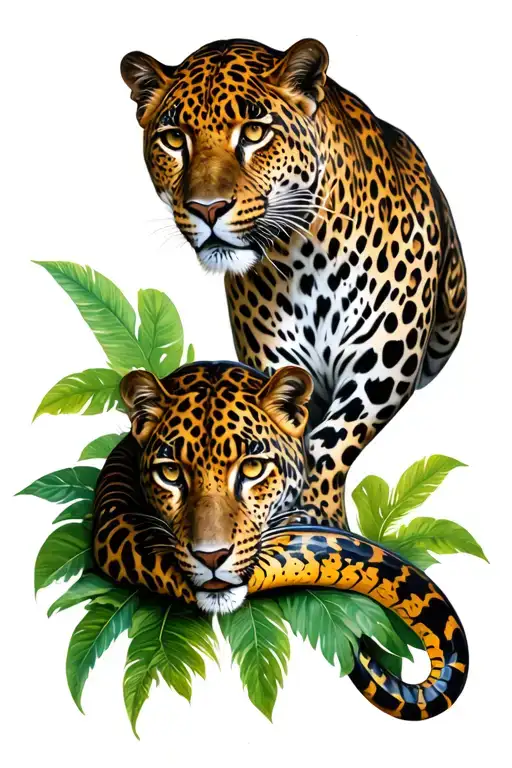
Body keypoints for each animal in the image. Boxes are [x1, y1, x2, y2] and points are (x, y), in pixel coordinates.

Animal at [120, 37, 467, 530]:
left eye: (253, 133)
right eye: (174, 139)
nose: (208, 209)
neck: (304, 256)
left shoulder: (382, 363)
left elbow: (328, 442)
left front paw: (318, 516)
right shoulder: (273, 364)